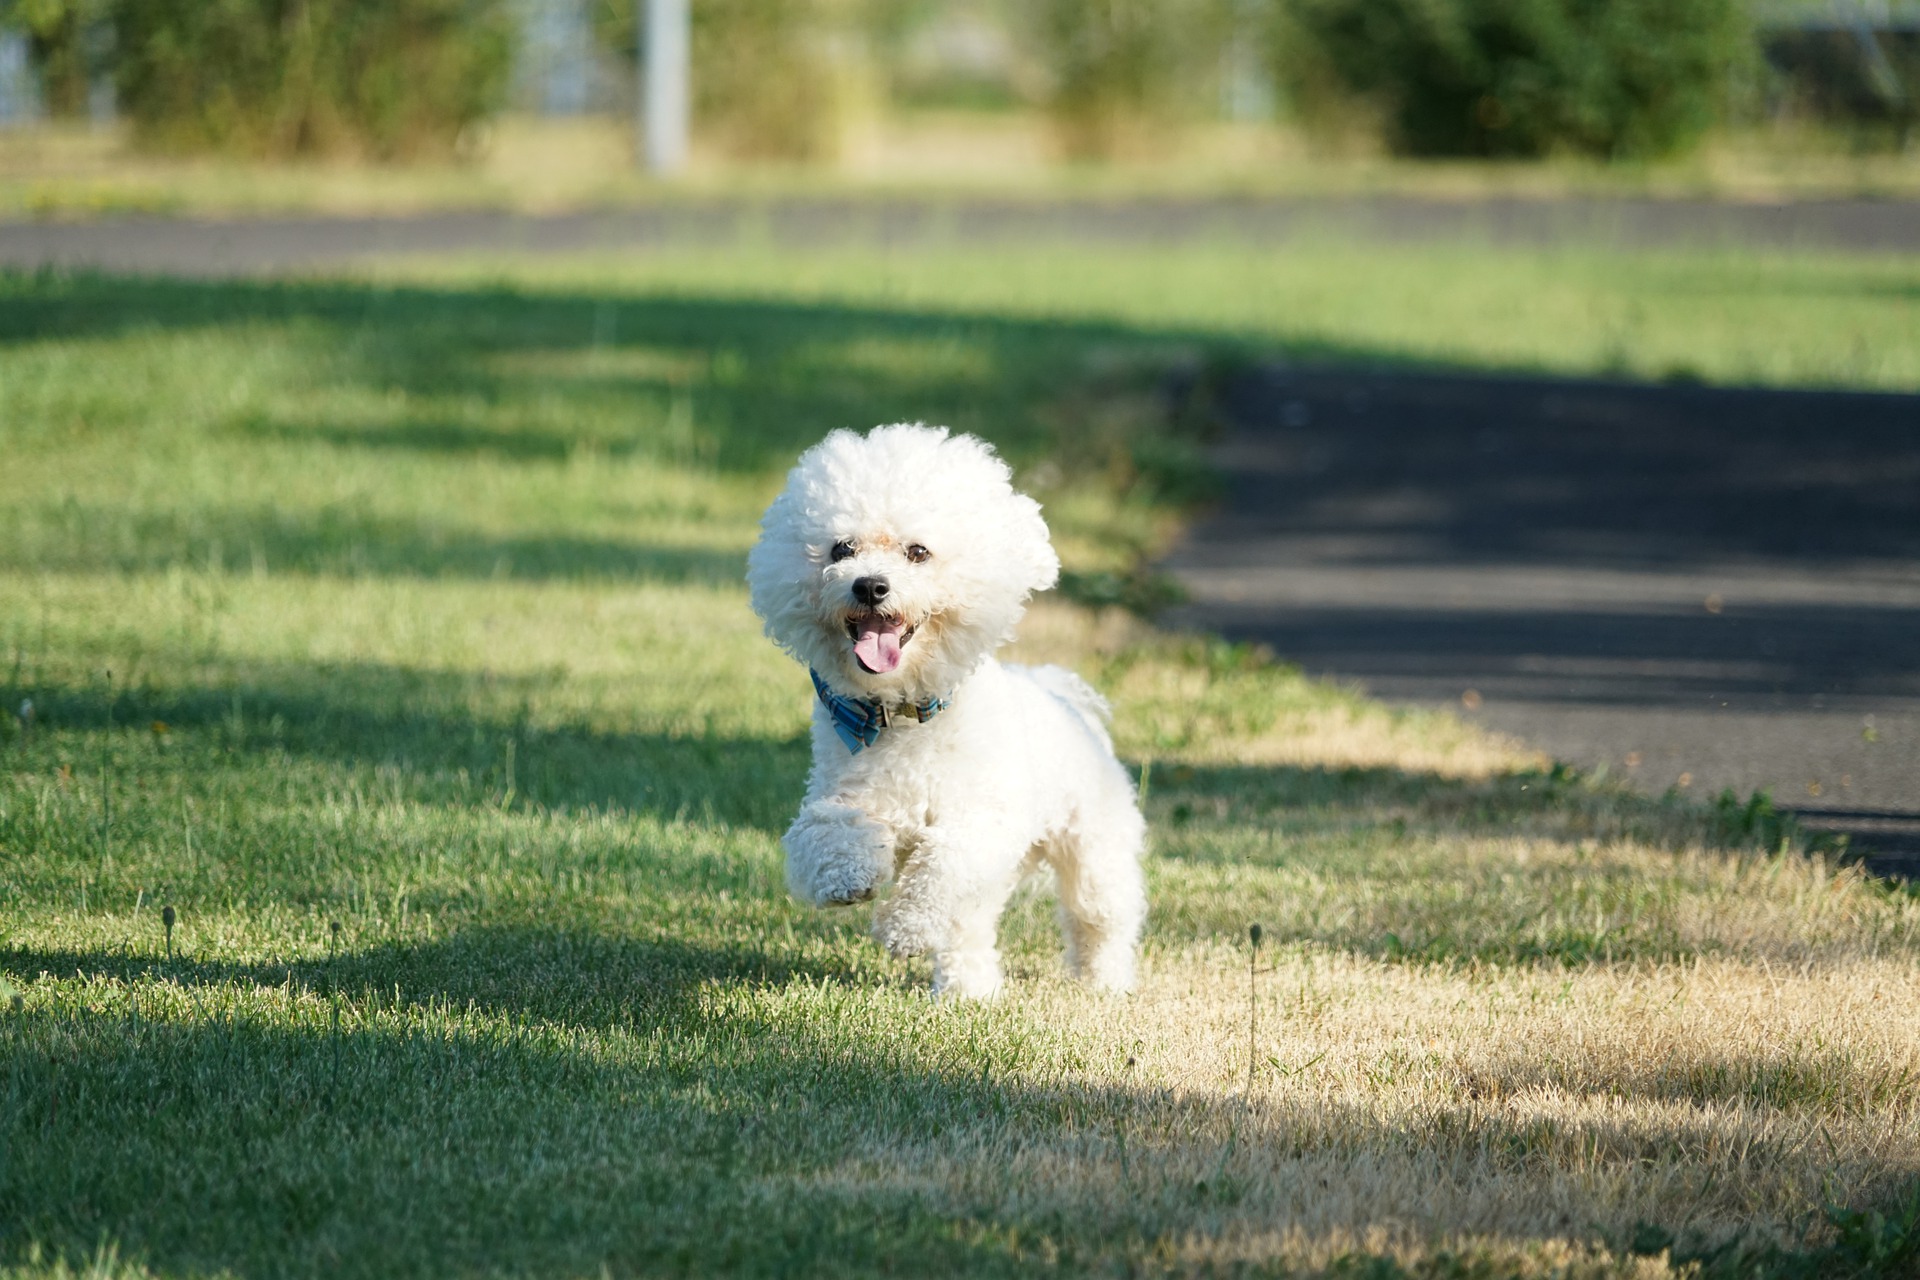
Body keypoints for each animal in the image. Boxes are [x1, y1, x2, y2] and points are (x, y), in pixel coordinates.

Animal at [744, 426, 1136, 997]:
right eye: (842, 547)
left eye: (918, 552)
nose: (870, 585)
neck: (904, 714)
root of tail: (1059, 691)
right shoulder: (841, 794)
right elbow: (824, 831)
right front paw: (849, 877)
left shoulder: (984, 822)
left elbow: (942, 865)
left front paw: (903, 927)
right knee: (971, 928)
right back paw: (968, 991)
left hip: (1094, 847)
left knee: (1099, 917)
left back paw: (1105, 982)